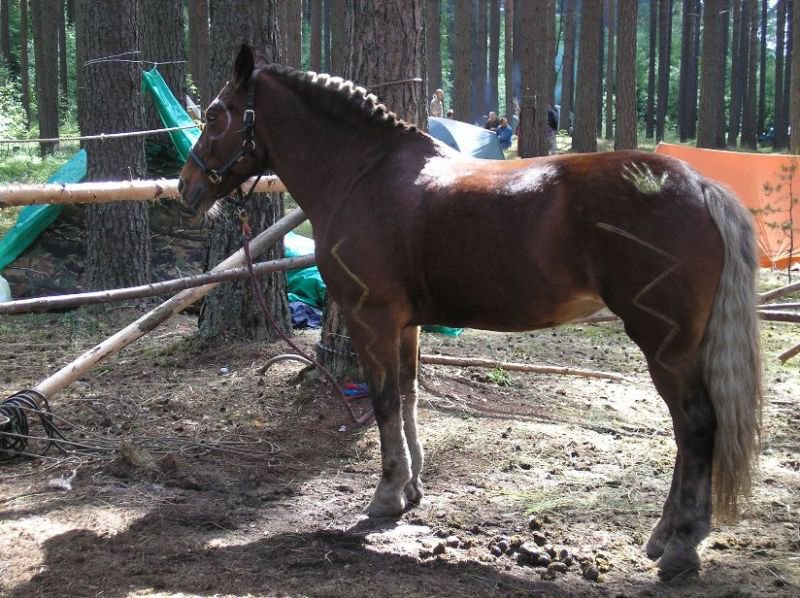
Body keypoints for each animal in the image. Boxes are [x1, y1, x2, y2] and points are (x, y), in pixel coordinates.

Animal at [179, 45, 762, 579]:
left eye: (215, 114)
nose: (185, 188)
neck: (363, 173)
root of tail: (701, 186)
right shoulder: (406, 325)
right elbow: (409, 397)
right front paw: (412, 487)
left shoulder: (372, 319)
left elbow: (384, 403)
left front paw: (385, 496)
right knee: (691, 433)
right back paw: (664, 537)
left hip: (664, 344)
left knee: (696, 428)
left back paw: (682, 546)